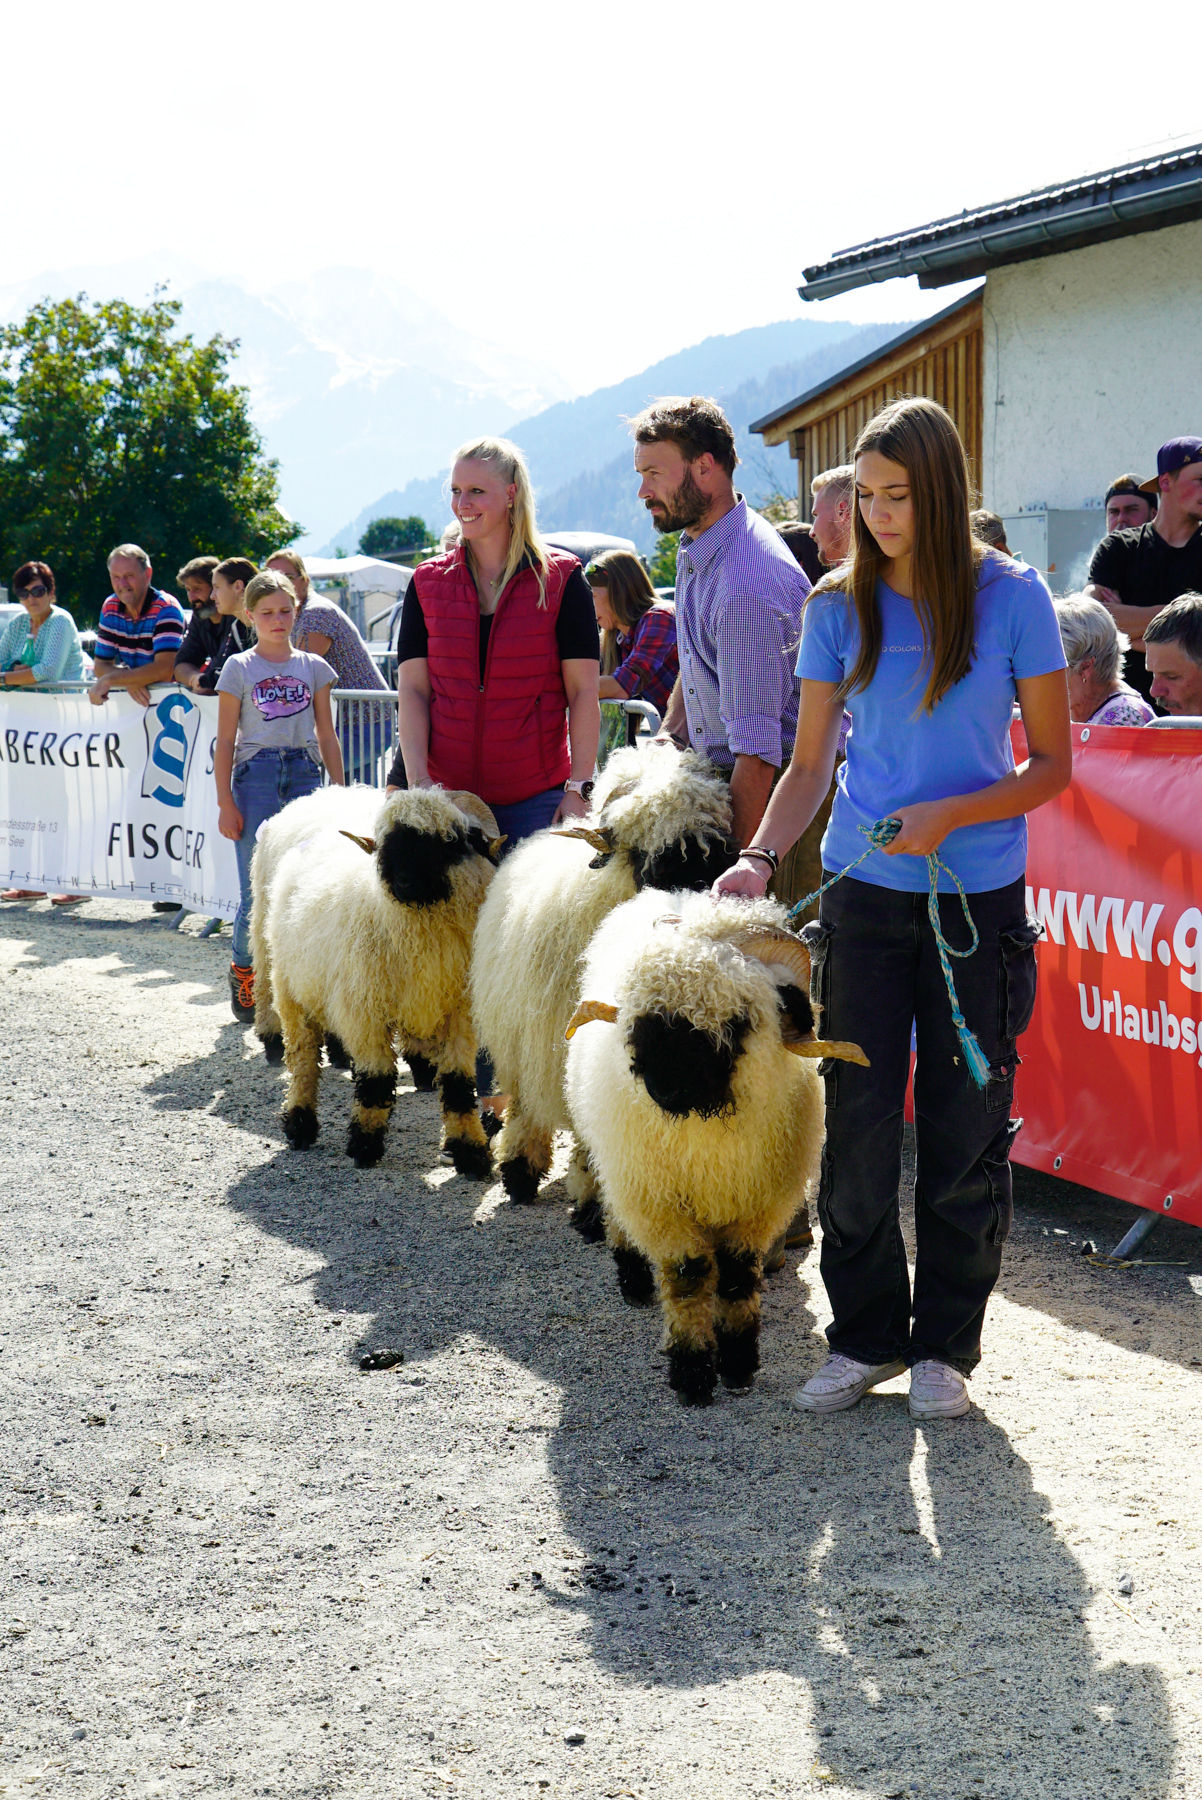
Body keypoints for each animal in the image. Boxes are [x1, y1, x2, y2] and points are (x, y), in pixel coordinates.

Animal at [250, 781, 503, 1173]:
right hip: (287, 983)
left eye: (449, 842)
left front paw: (471, 1152)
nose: (403, 881)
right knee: (302, 1060)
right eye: (386, 844)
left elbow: (459, 1086)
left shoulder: (460, 1014)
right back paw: (299, 1122)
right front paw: (364, 1146)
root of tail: (322, 792)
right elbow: (376, 1082)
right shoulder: (366, 1012)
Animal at [467, 745, 734, 1224]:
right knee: (524, 1102)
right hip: (522, 1037)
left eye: (715, 841)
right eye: (640, 844)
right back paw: (519, 1171)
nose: (696, 887)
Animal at [568, 885, 867, 1404]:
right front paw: (692, 1374)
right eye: (643, 1015)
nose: (663, 1089)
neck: (707, 1137)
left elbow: (735, 1280)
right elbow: (688, 1282)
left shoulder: (756, 1206)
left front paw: (739, 1363)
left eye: (738, 1020)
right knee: (615, 1210)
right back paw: (633, 1279)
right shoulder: (662, 1204)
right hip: (620, 1164)